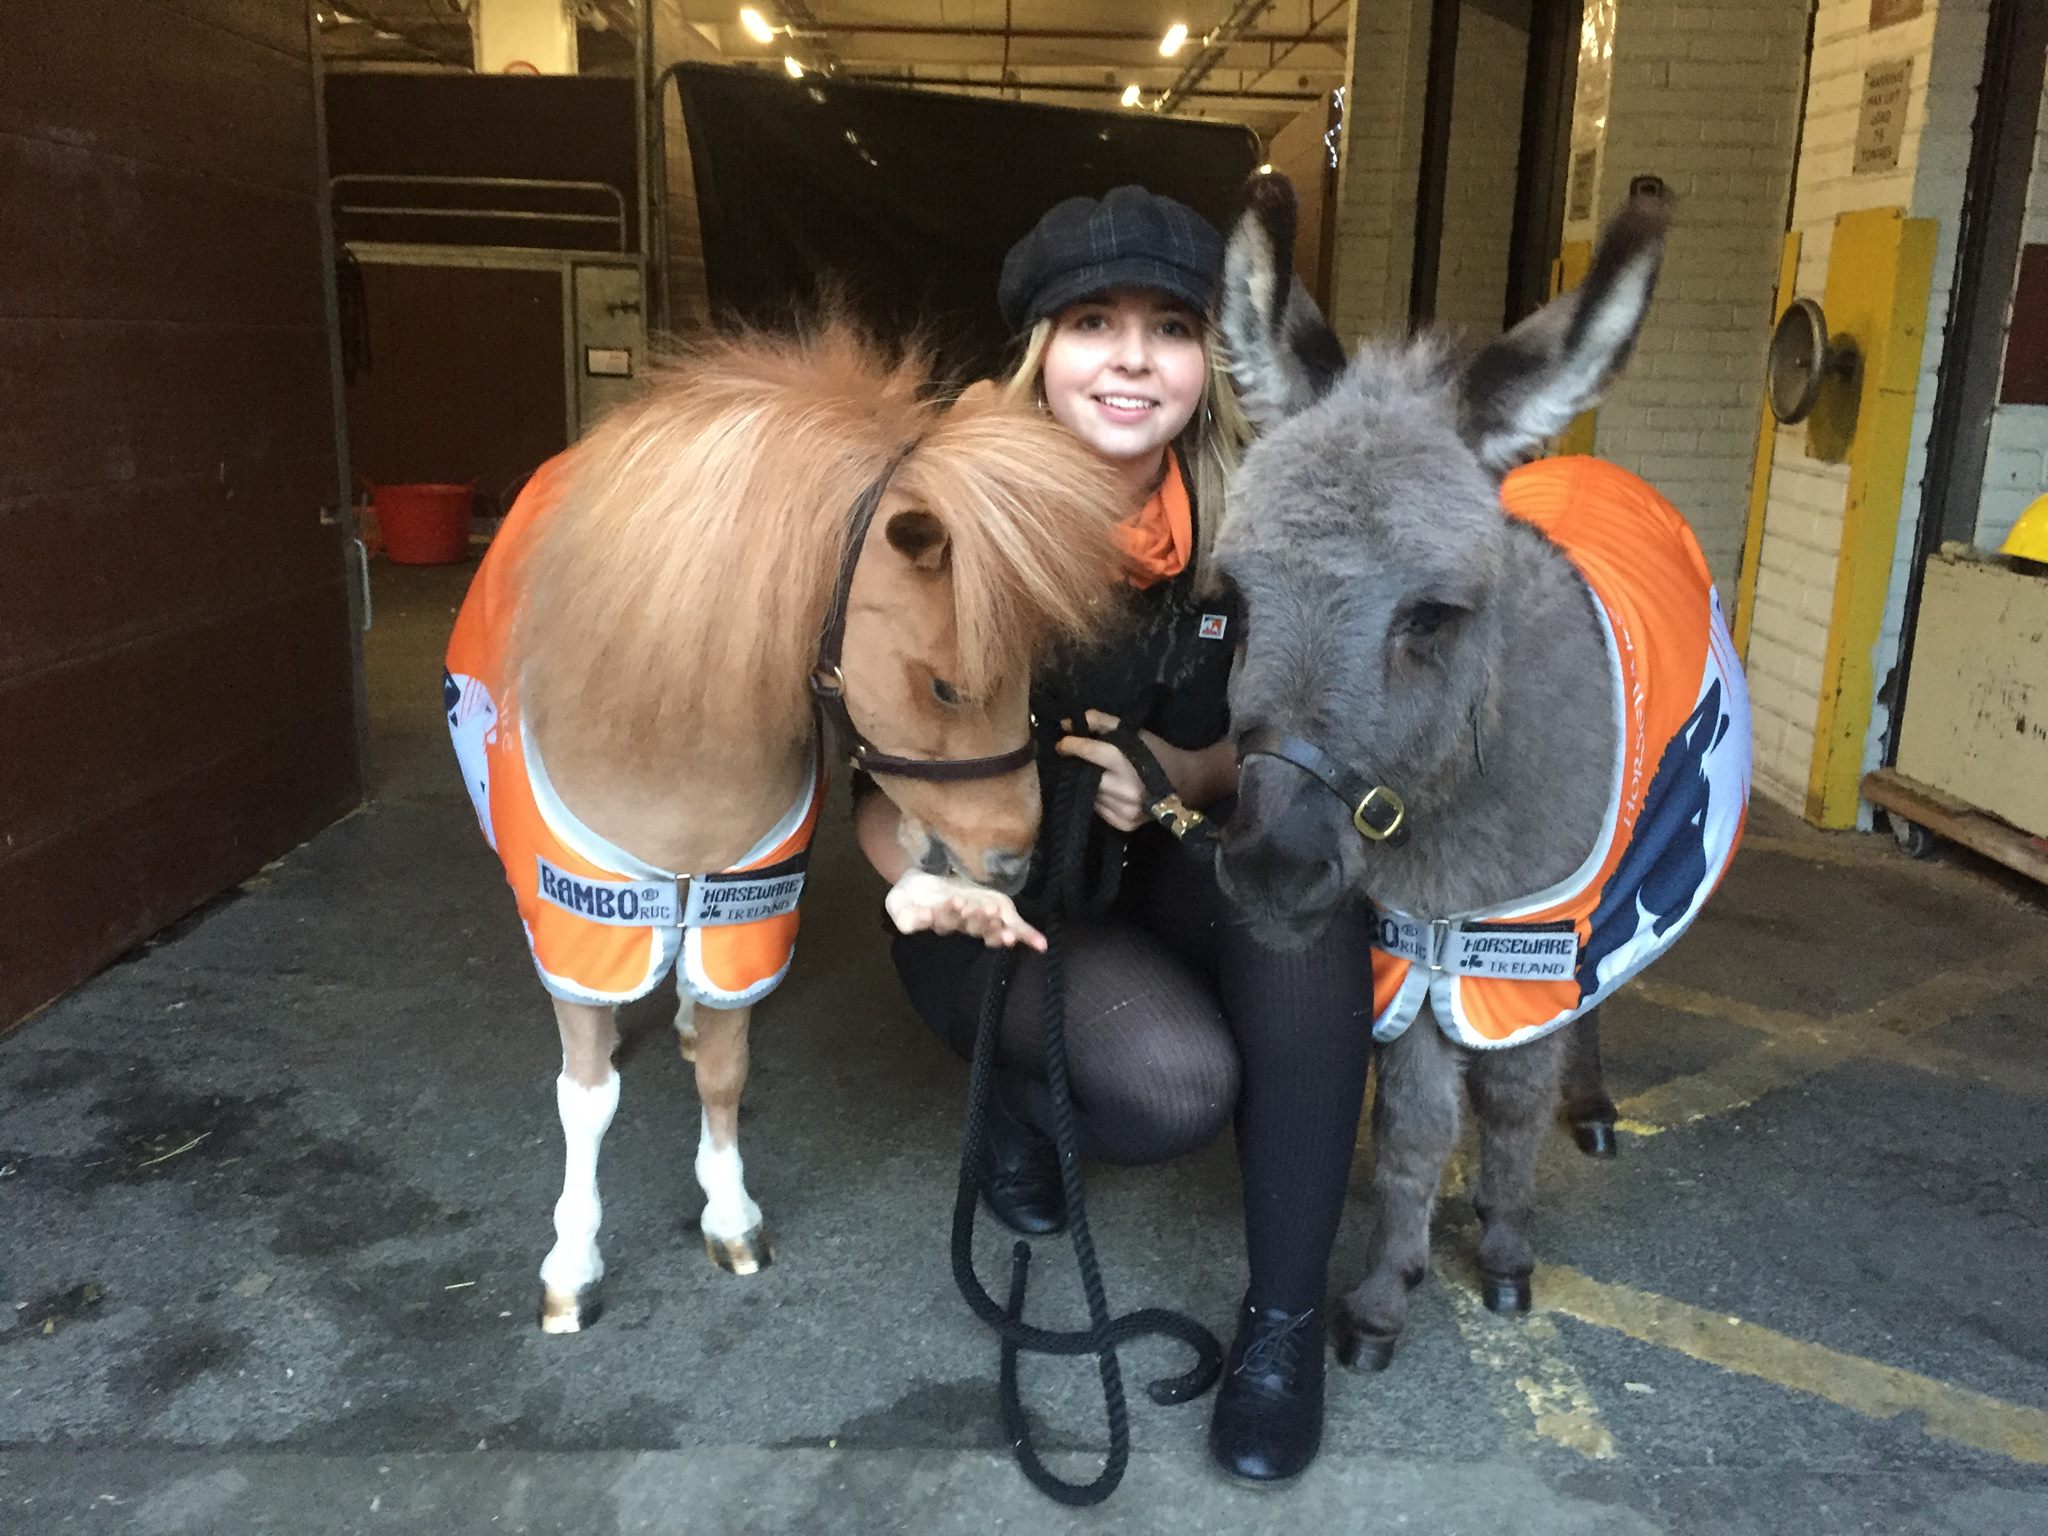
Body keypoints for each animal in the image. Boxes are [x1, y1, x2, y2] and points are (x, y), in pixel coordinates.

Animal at [448, 319, 1122, 1327]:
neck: (669, 737)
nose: (1011, 862)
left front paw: (728, 1214)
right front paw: (572, 1262)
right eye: (947, 686)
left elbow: (726, 1073)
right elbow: (586, 1098)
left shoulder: (745, 908)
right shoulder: (582, 925)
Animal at [1204, 177, 1753, 1368]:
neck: (1449, 804)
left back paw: (1591, 1107)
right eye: (1232, 602)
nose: (1270, 869)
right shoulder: (1412, 942)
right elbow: (1413, 1123)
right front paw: (1382, 1294)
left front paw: (1502, 1246)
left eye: (1429, 616)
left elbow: (1504, 1098)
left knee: (1586, 1009)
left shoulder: (1524, 937)